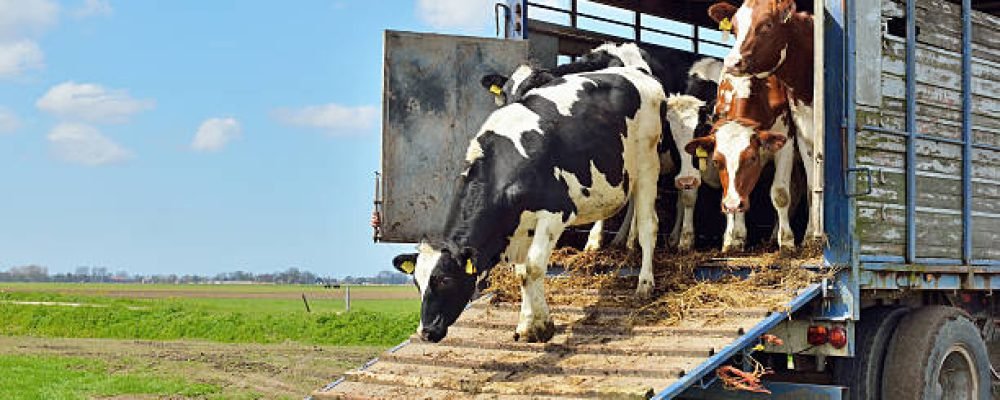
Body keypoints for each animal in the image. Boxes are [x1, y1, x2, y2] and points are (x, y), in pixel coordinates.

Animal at [394, 65, 668, 344]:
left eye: (445, 280)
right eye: (417, 283)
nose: (425, 331)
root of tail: (637, 72)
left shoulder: (555, 212)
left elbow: (533, 268)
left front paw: (541, 326)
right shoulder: (520, 226)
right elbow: (521, 272)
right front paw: (527, 323)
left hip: (648, 163)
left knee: (649, 226)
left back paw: (645, 284)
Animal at [684, 72, 792, 250]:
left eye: (752, 158)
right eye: (716, 161)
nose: (733, 204)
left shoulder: (786, 142)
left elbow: (780, 194)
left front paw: (787, 241)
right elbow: (728, 192)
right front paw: (733, 237)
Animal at [704, 0, 820, 244]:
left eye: (767, 24)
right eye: (734, 28)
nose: (732, 62)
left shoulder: (788, 139)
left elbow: (781, 192)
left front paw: (789, 241)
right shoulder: (804, 134)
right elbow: (810, 187)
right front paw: (734, 237)